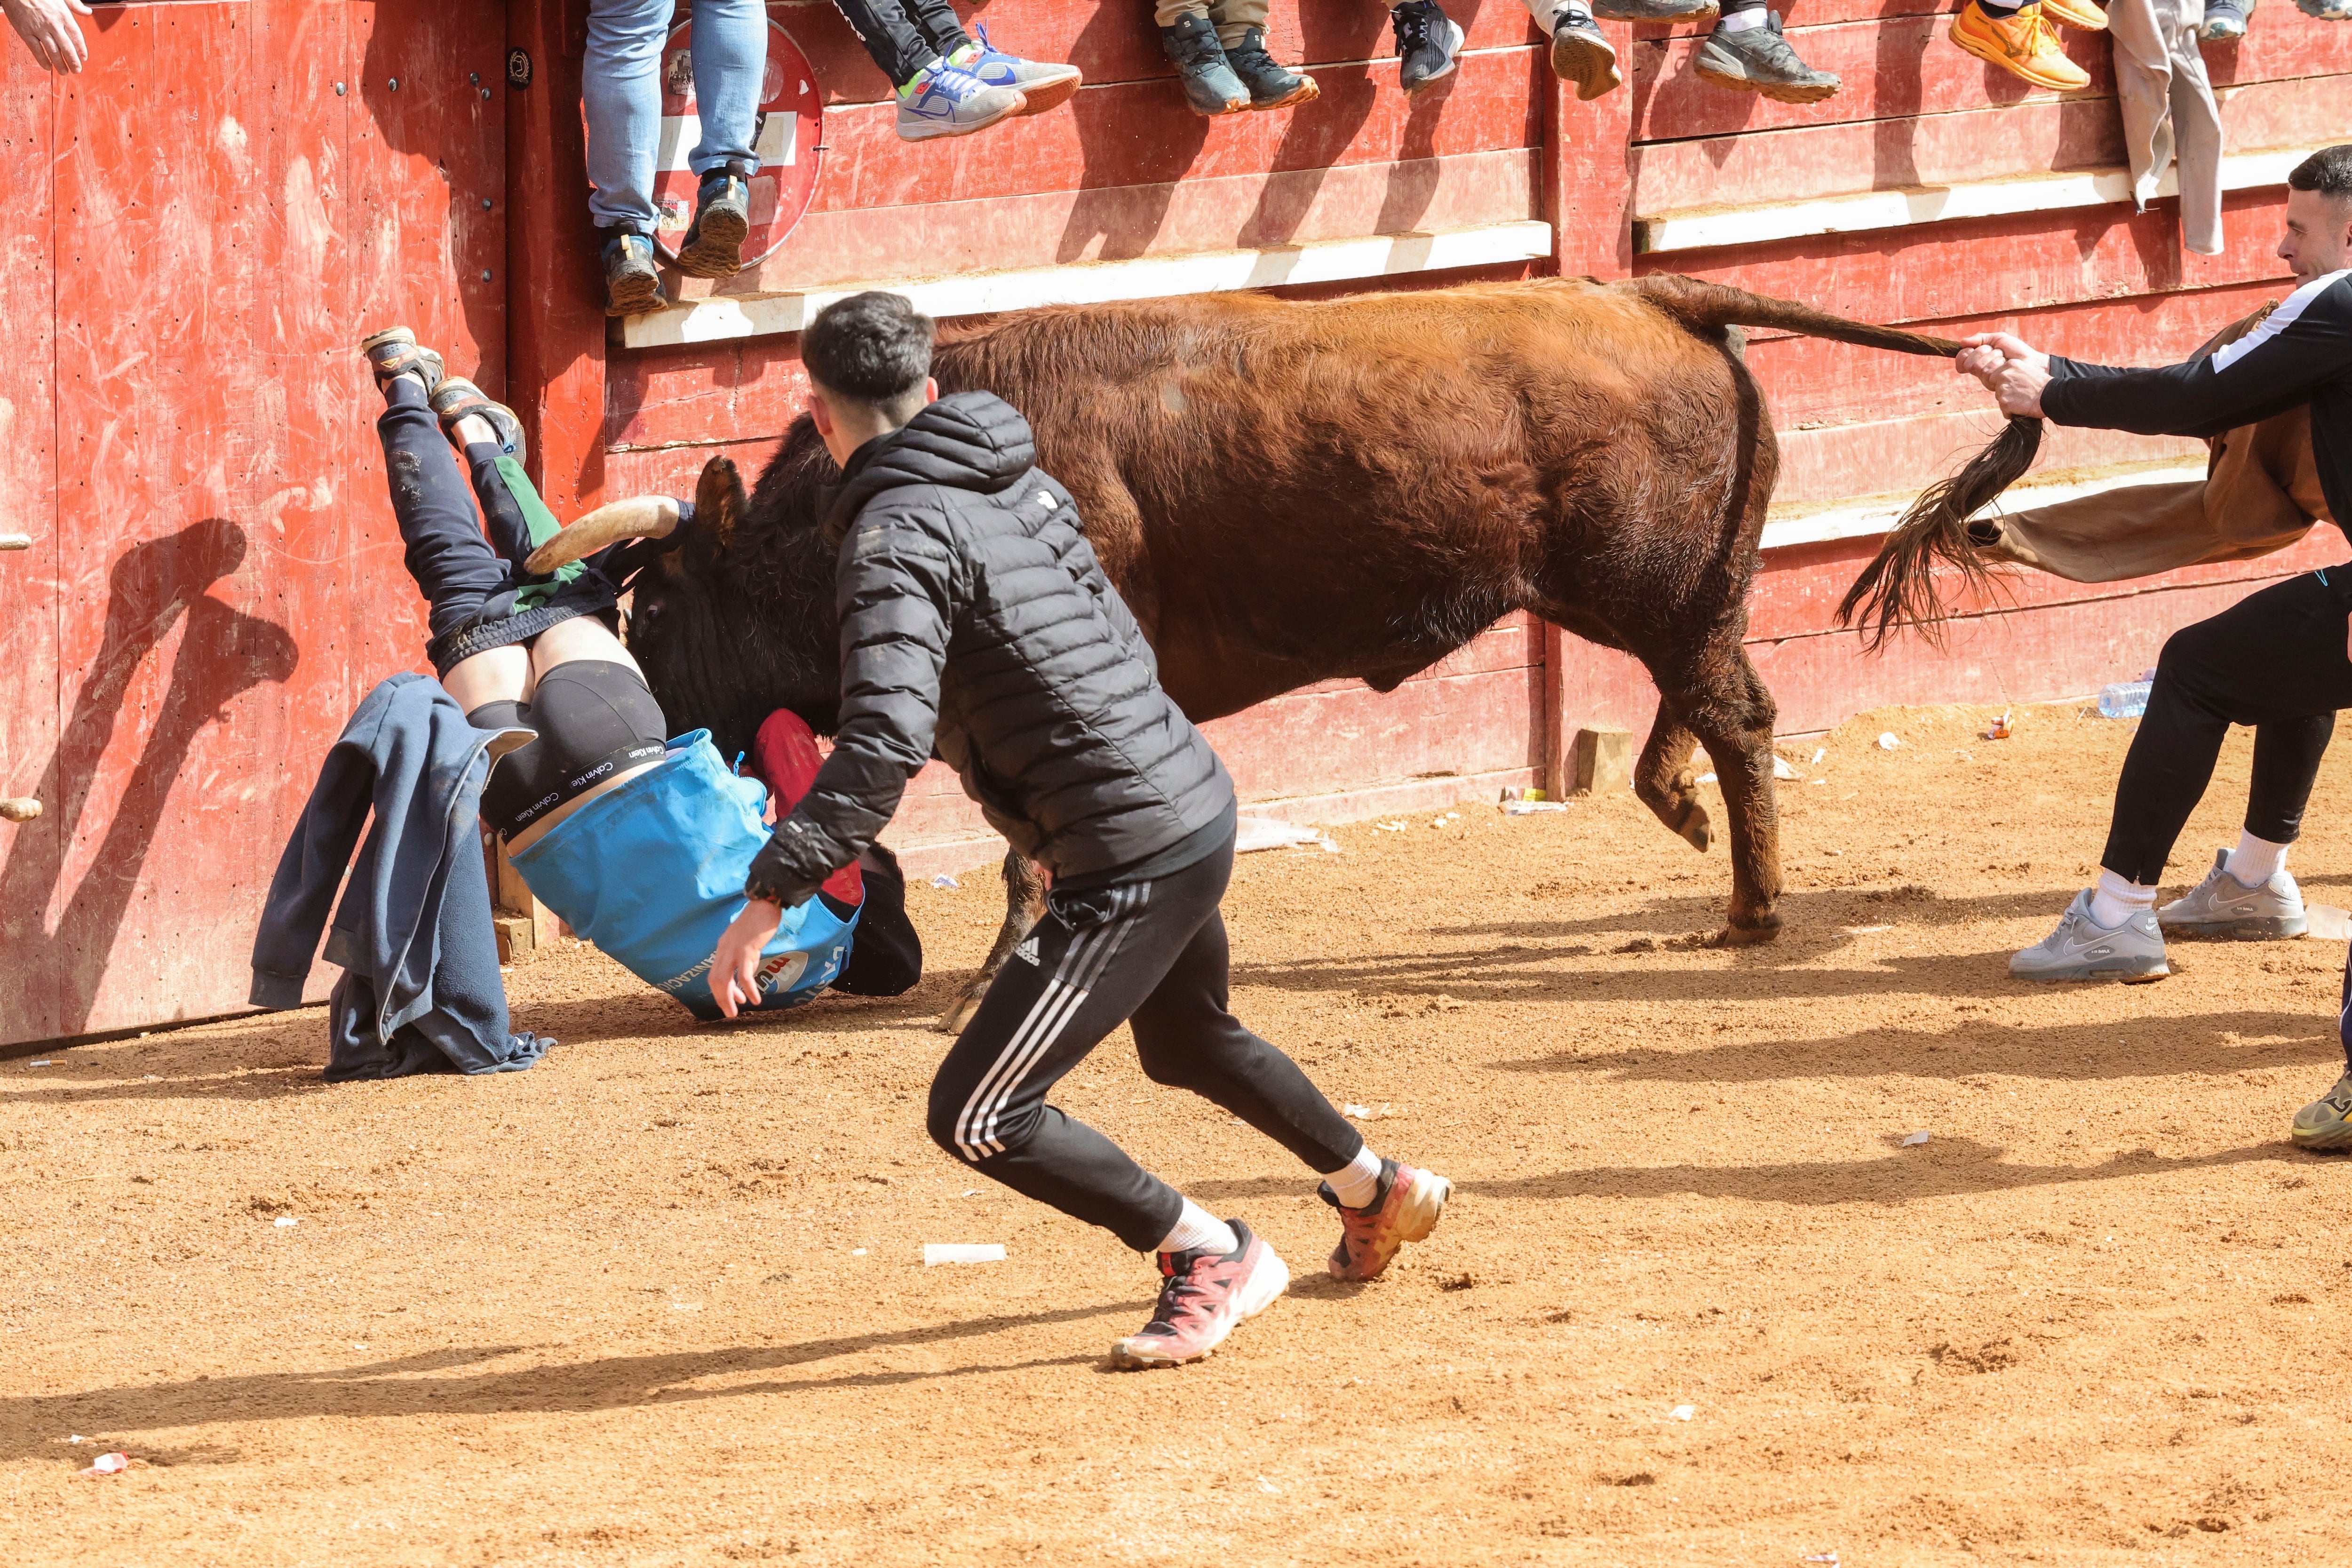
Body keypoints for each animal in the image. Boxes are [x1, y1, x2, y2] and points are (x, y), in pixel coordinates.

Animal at [539, 272, 1966, 1029]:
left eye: (655, 612)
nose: (619, 733)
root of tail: (1654, 293)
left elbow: (1023, 843)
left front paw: (994, 978)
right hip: (1675, 592)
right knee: (1713, 702)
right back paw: (1684, 822)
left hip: (1650, 587)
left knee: (1736, 711)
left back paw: (1748, 907)